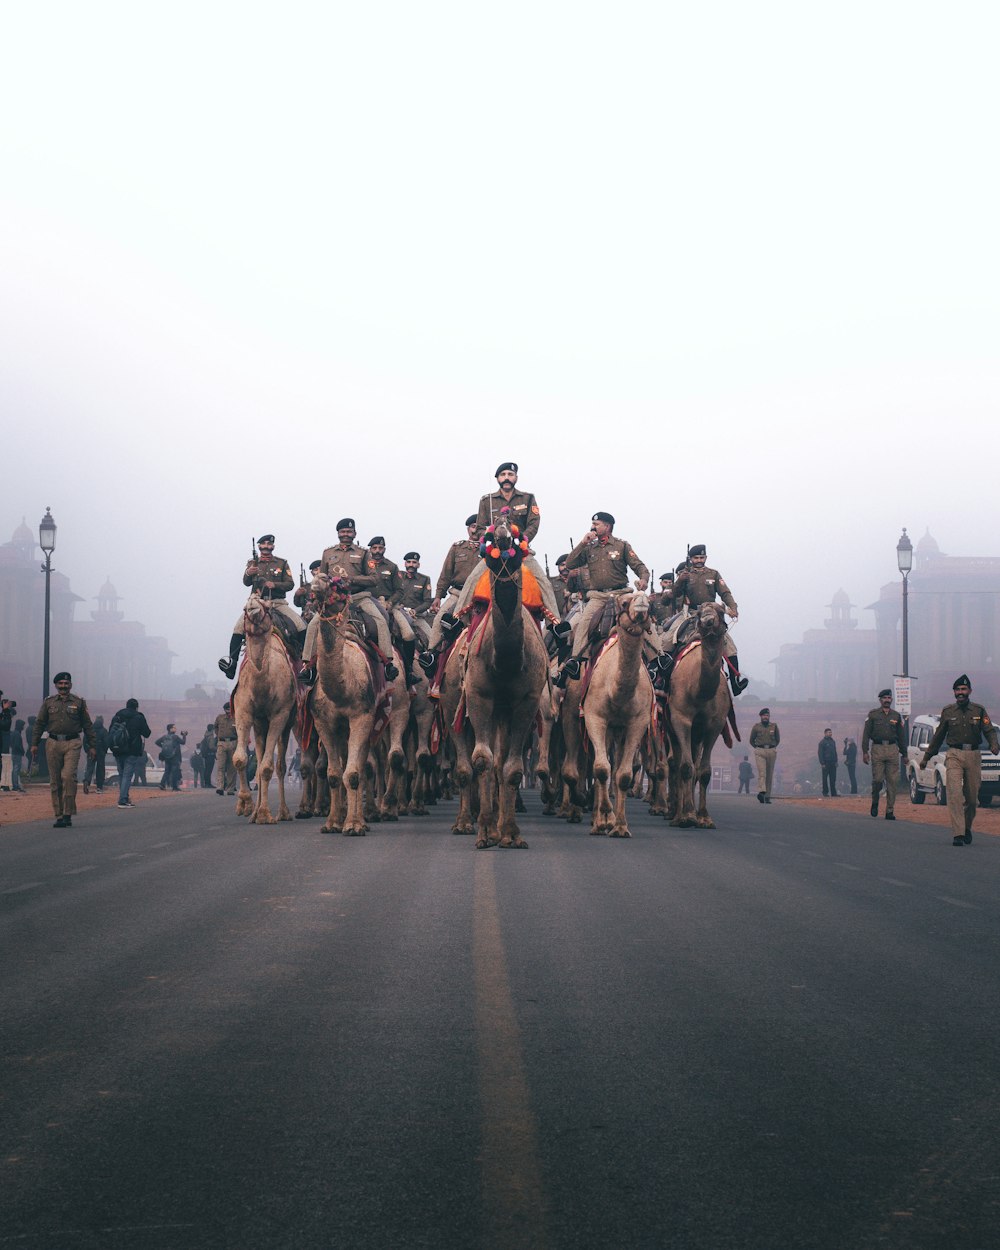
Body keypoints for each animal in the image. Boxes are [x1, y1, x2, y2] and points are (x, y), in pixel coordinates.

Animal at [230, 592, 297, 825]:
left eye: (266, 606)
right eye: (244, 608)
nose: (252, 607)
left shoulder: (279, 715)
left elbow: (269, 767)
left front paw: (266, 814)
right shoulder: (243, 711)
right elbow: (241, 759)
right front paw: (245, 805)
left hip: (288, 723)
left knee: (280, 766)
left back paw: (283, 812)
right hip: (260, 725)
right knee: (257, 762)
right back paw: (254, 812)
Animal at [585, 590, 655, 835]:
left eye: (650, 604)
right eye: (625, 602)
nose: (642, 603)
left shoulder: (637, 722)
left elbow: (623, 774)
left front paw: (620, 826)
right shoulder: (594, 717)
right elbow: (600, 769)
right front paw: (604, 820)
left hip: (619, 731)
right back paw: (597, 819)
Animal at [670, 597, 730, 825]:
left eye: (721, 612)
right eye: (699, 613)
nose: (707, 621)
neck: (699, 692)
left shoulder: (714, 725)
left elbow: (703, 772)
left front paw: (703, 816)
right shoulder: (680, 719)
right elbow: (686, 768)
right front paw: (687, 815)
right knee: (676, 764)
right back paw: (675, 812)